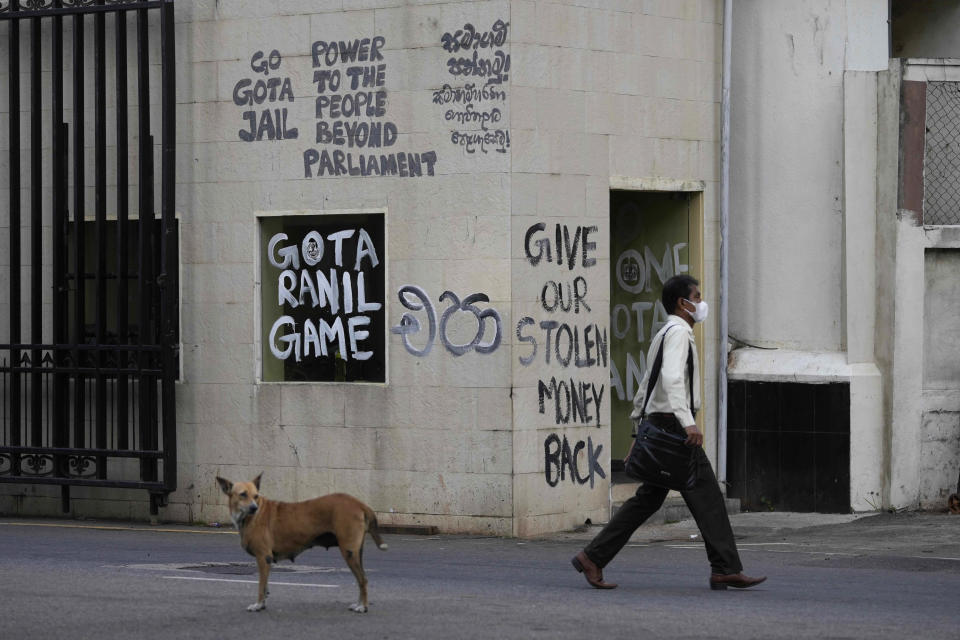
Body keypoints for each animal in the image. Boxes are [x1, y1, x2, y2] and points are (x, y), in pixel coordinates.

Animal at [217, 472, 386, 612]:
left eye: (256, 496)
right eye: (243, 495)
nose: (254, 508)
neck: (250, 517)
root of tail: (359, 503)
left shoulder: (263, 558)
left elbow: (261, 586)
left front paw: (258, 605)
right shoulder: (266, 561)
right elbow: (265, 587)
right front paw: (263, 603)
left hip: (349, 552)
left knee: (363, 580)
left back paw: (363, 607)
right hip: (356, 553)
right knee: (361, 580)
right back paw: (359, 603)